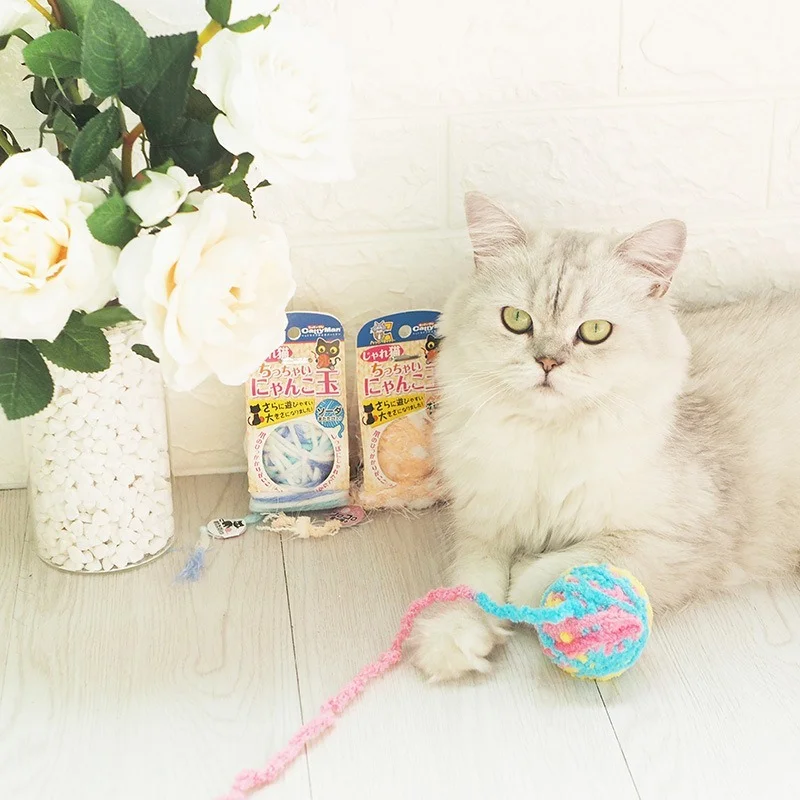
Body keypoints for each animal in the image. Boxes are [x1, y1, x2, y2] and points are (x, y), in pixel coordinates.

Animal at [409, 191, 800, 681]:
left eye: (595, 332)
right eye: (516, 320)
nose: (547, 362)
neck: (549, 440)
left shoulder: (683, 540)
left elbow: (554, 568)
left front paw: (524, 592)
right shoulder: (483, 525)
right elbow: (468, 584)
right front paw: (454, 635)